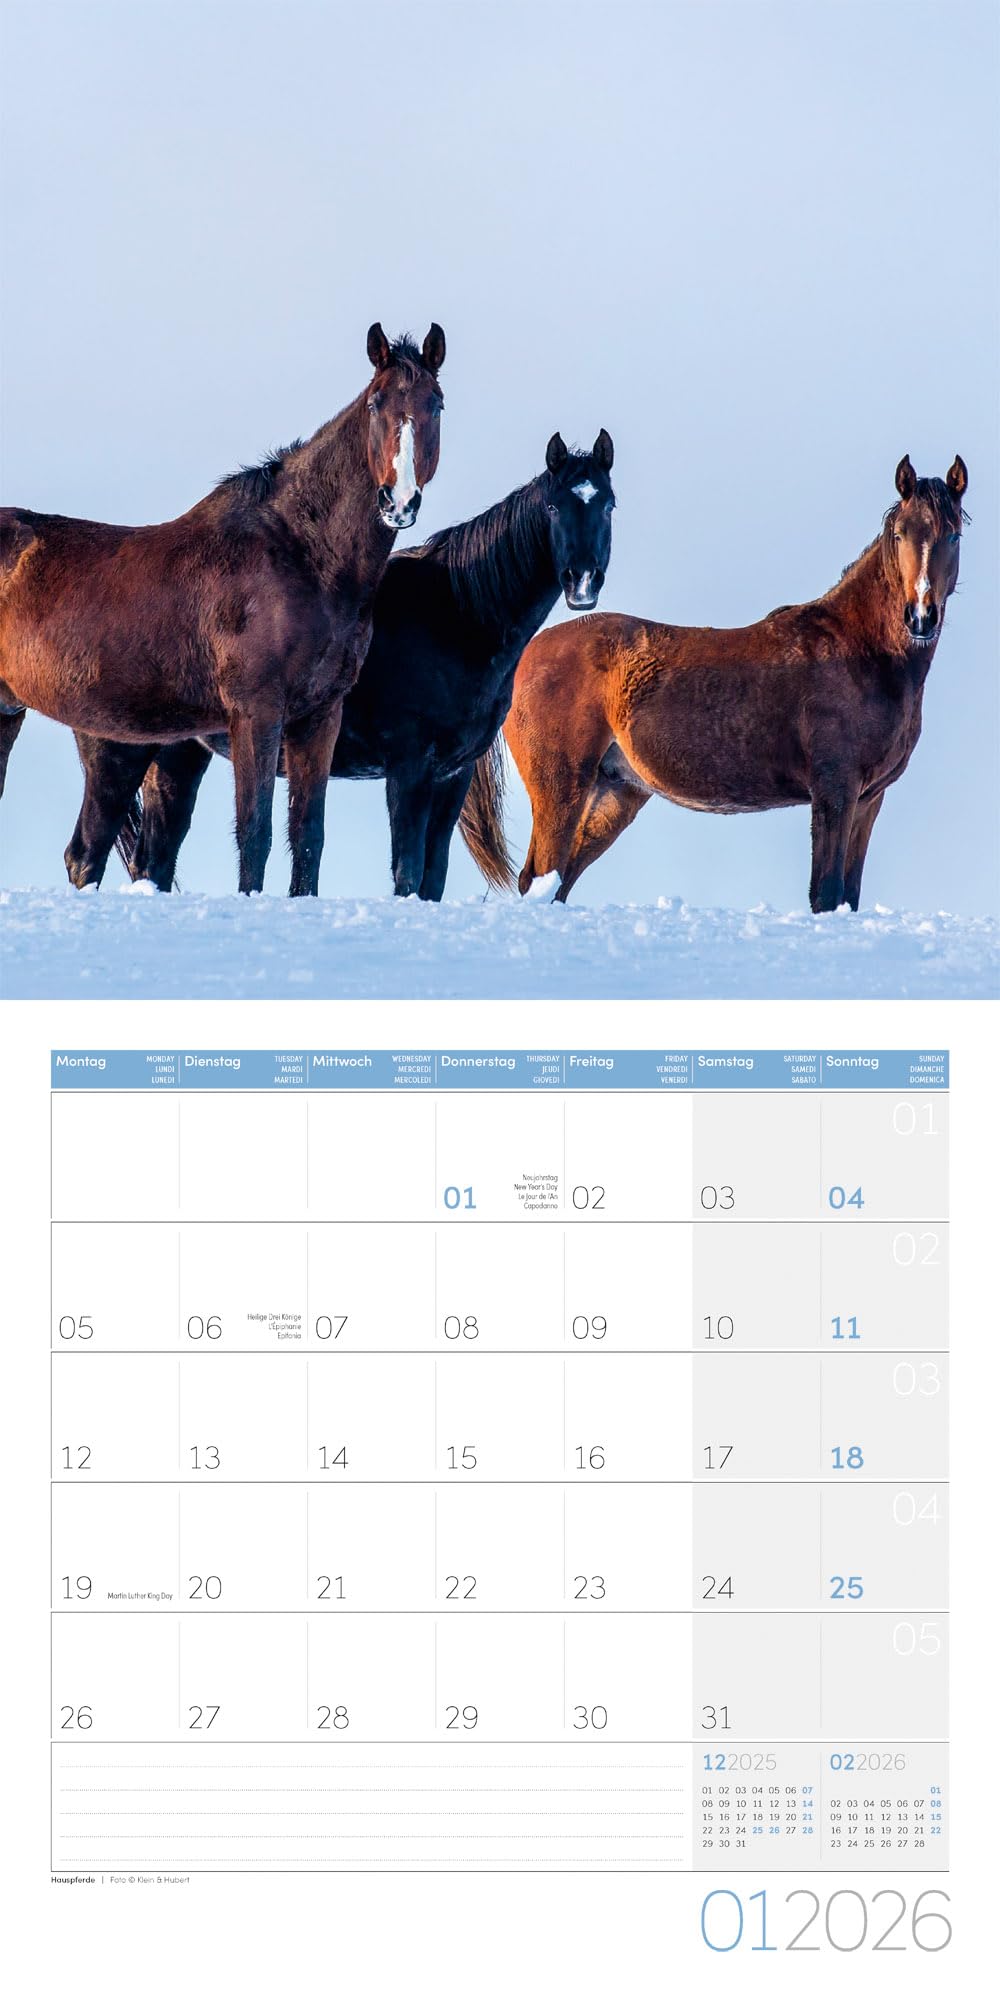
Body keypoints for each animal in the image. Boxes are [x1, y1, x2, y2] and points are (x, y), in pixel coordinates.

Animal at [0, 322, 445, 894]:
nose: (399, 501)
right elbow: (255, 831)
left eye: (436, 403)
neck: (302, 555)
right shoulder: (255, 711)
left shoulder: (320, 716)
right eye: (375, 403)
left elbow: (309, 835)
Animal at [72, 428, 615, 900]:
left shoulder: (452, 775)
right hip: (123, 754)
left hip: (178, 755)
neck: (457, 618)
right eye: (553, 505)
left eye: (608, 504)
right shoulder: (409, 769)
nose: (583, 583)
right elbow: (407, 870)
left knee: (154, 856)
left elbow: (433, 875)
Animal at [460, 455, 969, 912]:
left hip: (612, 794)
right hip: (560, 788)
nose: (920, 616)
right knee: (538, 879)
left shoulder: (868, 799)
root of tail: (528, 652)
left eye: (953, 534)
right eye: (899, 534)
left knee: (558, 883)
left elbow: (847, 896)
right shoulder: (835, 793)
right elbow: (825, 895)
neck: (858, 650)